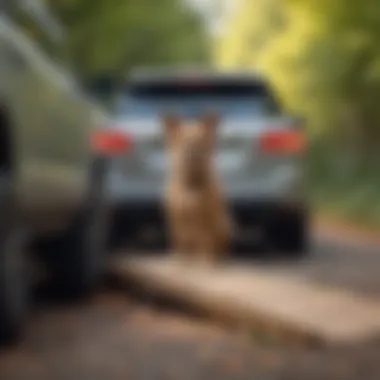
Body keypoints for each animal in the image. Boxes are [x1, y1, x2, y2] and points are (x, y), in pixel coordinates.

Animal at [161, 111, 232, 262]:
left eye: (200, 140)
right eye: (182, 140)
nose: (191, 148)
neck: (192, 185)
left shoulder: (210, 218)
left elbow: (208, 242)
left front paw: (208, 261)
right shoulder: (176, 218)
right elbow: (179, 241)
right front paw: (179, 259)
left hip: (225, 224)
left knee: (219, 246)